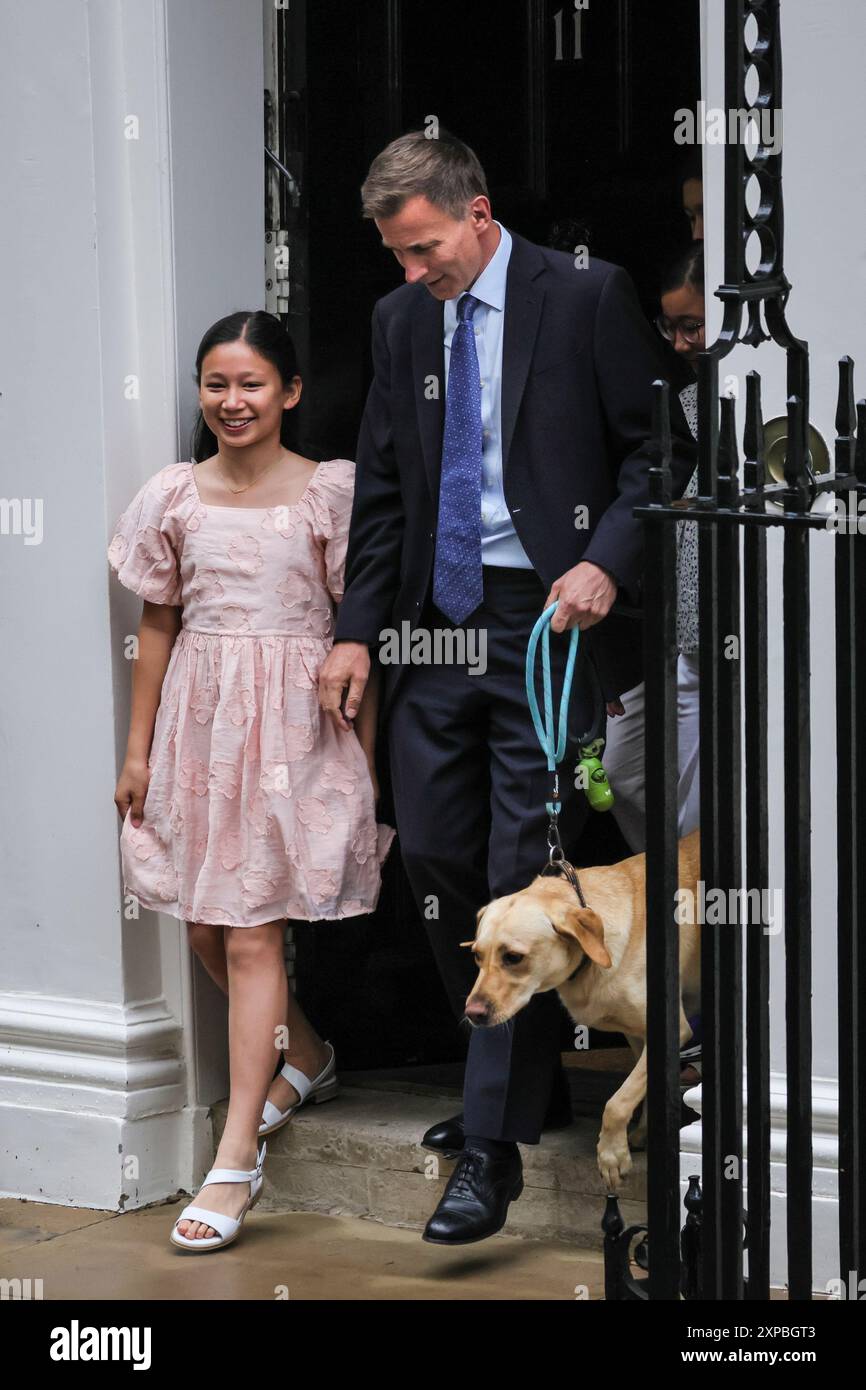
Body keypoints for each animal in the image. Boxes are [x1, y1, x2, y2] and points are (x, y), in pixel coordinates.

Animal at [464, 828, 700, 1189]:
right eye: (477, 955)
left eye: (513, 957)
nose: (472, 1014)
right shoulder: (638, 1035)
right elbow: (643, 1088)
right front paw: (642, 1133)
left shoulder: (672, 1029)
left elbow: (618, 1101)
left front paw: (611, 1154)